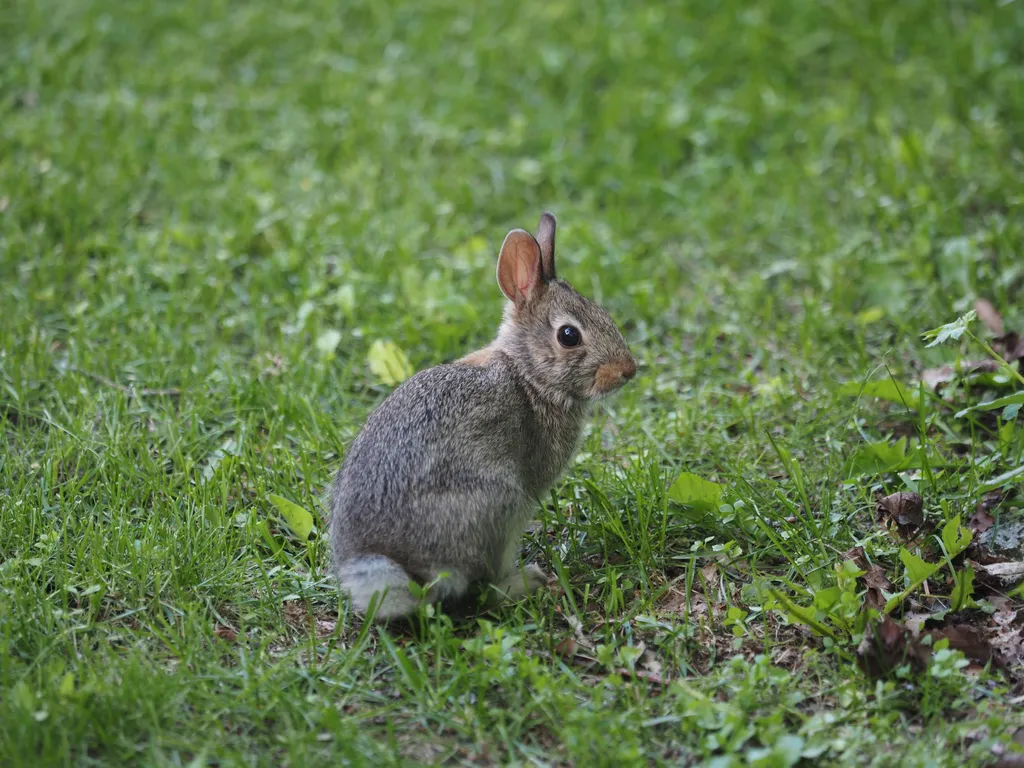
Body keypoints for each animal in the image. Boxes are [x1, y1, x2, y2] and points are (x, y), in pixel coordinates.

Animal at [327, 211, 634, 618]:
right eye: (569, 336)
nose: (628, 370)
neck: (527, 374)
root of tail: (398, 570)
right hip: (499, 504)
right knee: (483, 585)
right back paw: (528, 581)